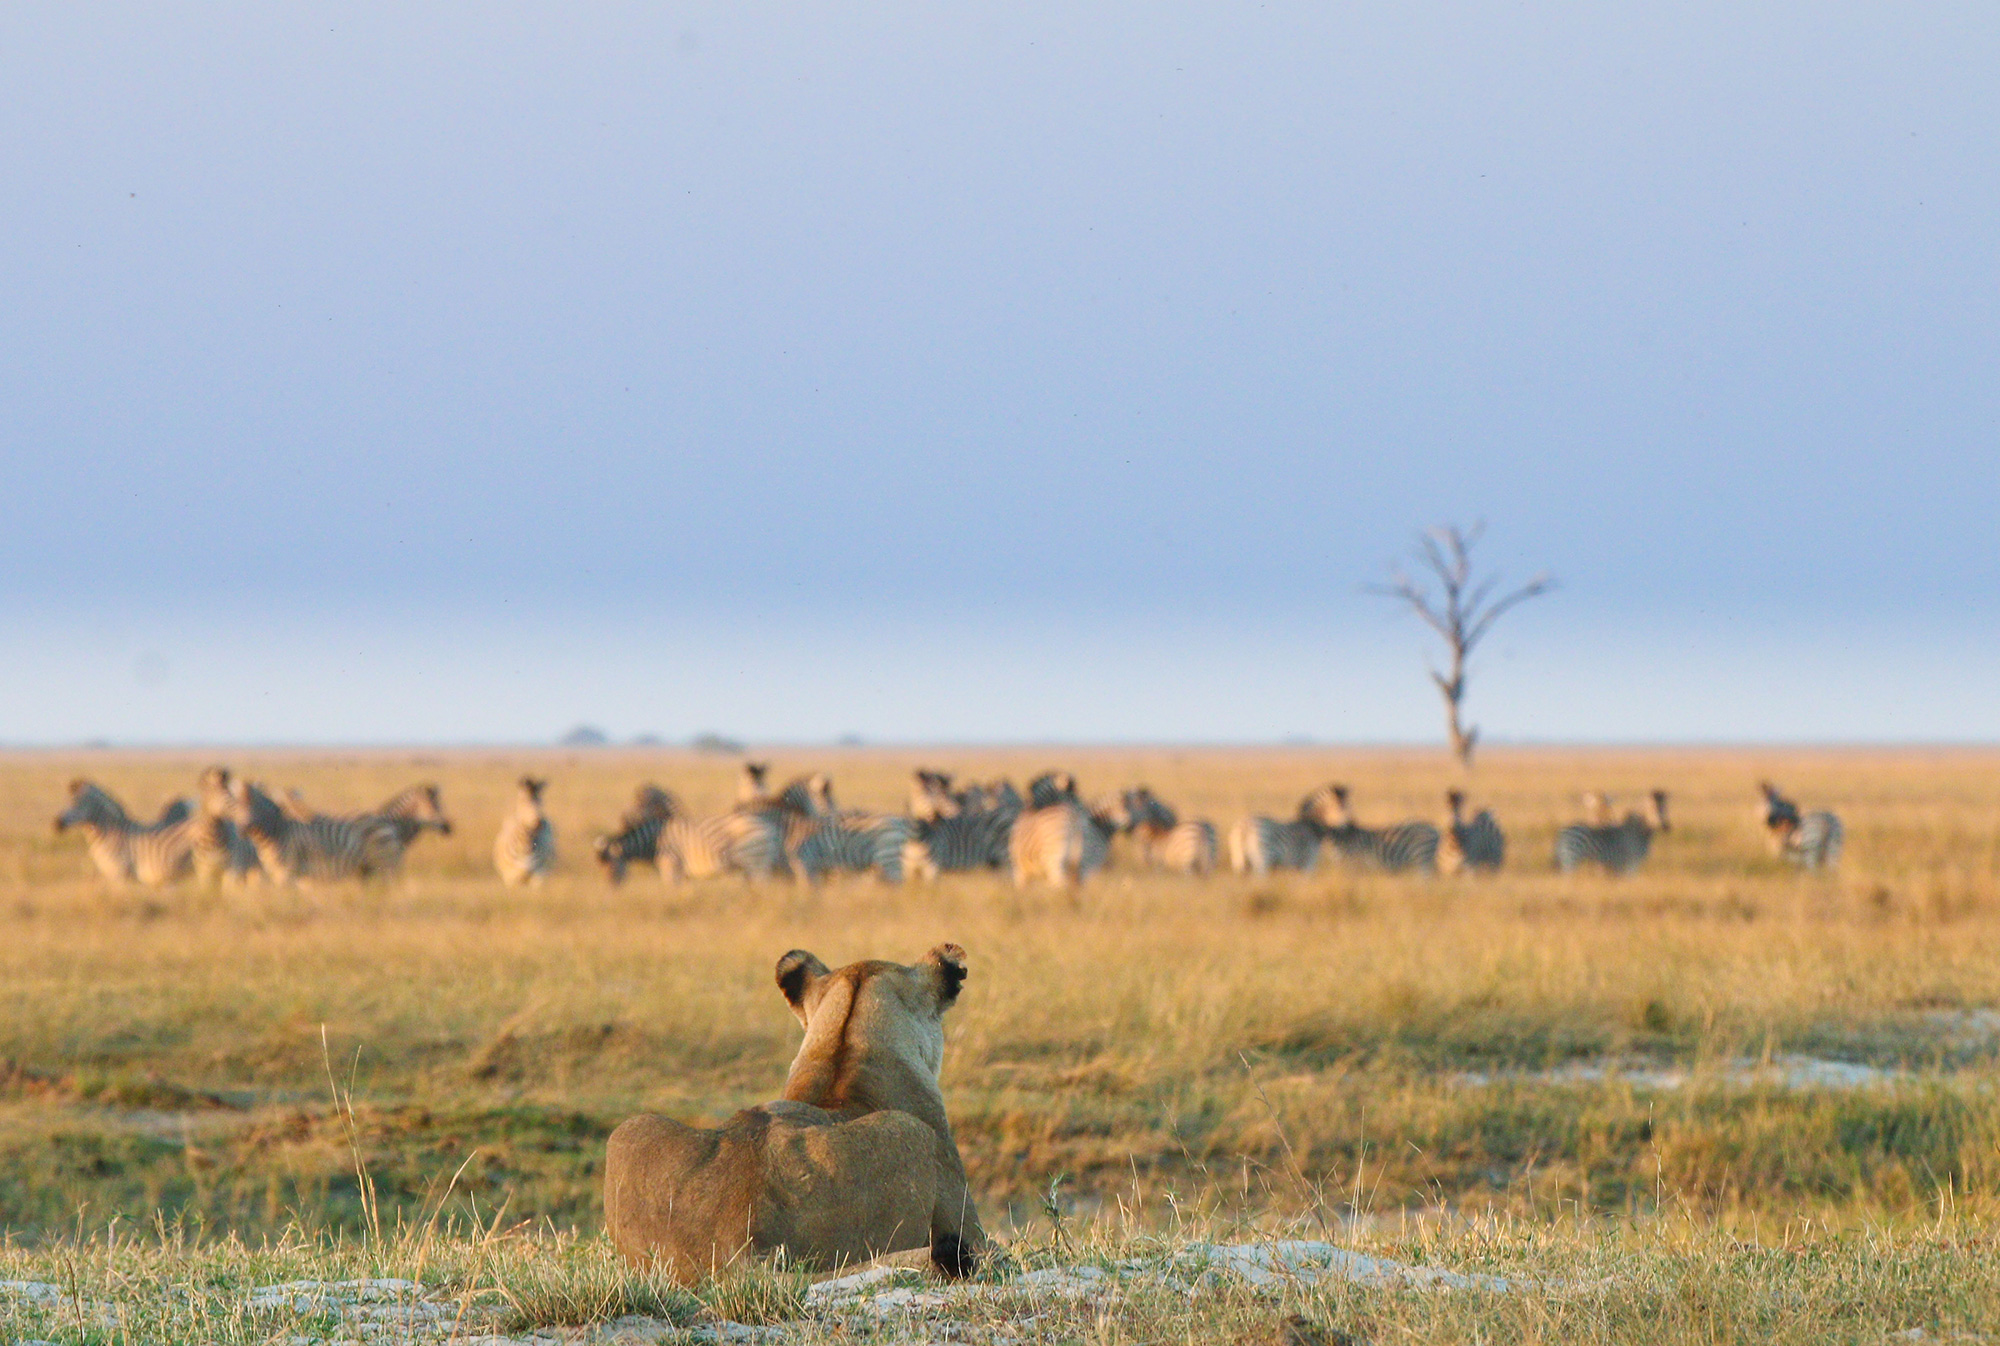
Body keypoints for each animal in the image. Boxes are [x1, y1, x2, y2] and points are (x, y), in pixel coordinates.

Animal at [1320, 784, 1448, 876]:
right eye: (1332, 807)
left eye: (1347, 806)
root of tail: (1433, 828)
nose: (1348, 825)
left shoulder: (1353, 863)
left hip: (1422, 858)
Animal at [1544, 788, 1672, 872]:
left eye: (1666, 807)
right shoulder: (1631, 863)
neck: (1639, 831)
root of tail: (1561, 833)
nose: (1666, 827)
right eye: (1652, 808)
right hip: (1571, 858)